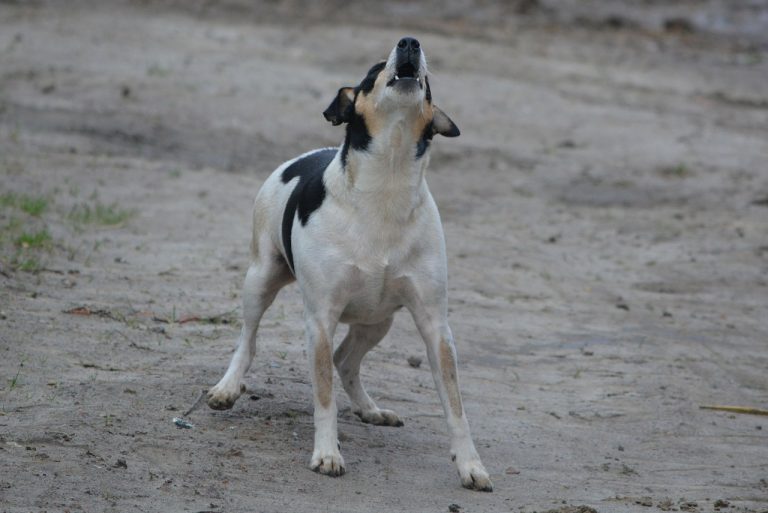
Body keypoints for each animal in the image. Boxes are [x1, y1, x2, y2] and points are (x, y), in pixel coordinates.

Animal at [204, 38, 492, 490]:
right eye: (374, 70)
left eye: (428, 82)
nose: (410, 42)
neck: (386, 185)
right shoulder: (320, 319)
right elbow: (324, 397)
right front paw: (327, 453)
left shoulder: (435, 326)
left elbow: (455, 406)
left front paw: (470, 465)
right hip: (260, 279)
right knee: (248, 341)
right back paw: (228, 387)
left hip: (378, 321)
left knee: (346, 361)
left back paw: (370, 408)